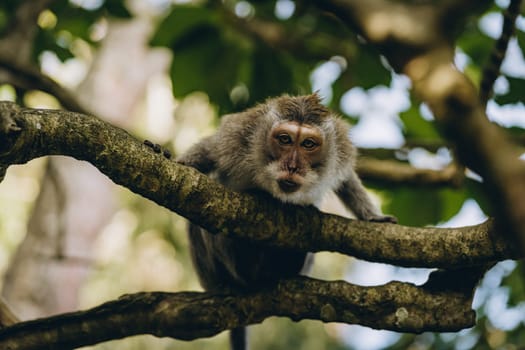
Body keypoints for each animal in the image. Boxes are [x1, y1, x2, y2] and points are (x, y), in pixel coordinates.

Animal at [174, 93, 396, 350]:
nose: (292, 166)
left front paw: (373, 217)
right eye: (284, 139)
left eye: (308, 144)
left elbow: (347, 180)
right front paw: (177, 161)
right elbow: (210, 151)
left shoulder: (340, 150)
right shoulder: (238, 135)